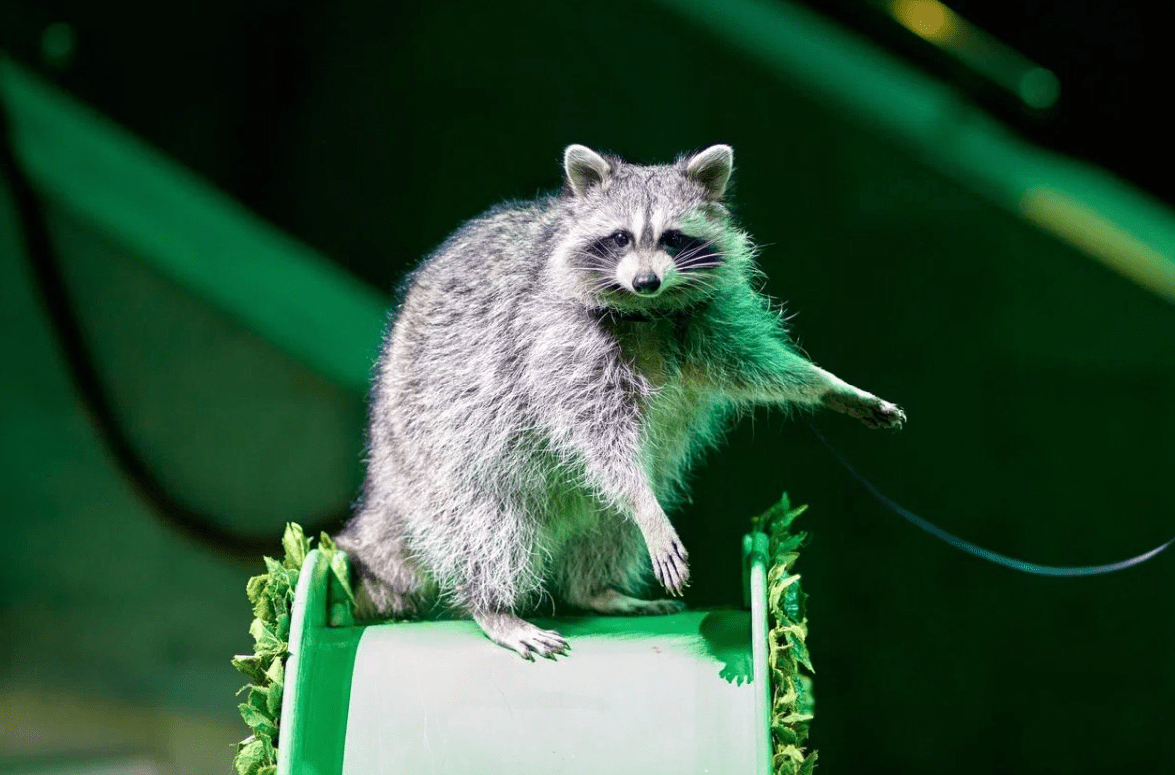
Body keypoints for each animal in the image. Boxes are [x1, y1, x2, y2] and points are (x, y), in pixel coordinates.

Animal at [336, 143, 902, 662]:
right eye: (620, 238)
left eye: (673, 237)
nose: (646, 280)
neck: (647, 310)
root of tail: (384, 466)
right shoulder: (552, 342)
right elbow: (600, 439)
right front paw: (646, 508)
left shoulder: (710, 322)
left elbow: (759, 365)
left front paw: (827, 385)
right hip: (443, 452)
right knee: (492, 523)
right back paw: (493, 605)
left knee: (604, 524)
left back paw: (598, 589)